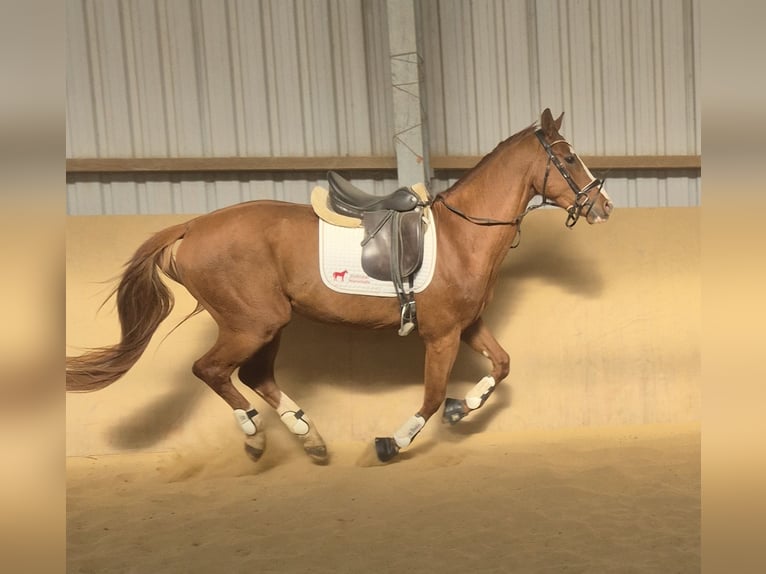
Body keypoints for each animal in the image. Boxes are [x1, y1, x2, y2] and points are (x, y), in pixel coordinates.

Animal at [66, 109, 613, 464]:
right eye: (568, 158)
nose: (602, 206)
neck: (464, 234)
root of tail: (192, 227)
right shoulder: (441, 336)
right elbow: (432, 397)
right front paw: (393, 442)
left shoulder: (468, 324)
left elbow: (500, 366)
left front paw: (464, 409)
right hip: (252, 323)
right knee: (212, 371)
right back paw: (255, 436)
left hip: (271, 324)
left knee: (255, 376)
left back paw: (308, 436)